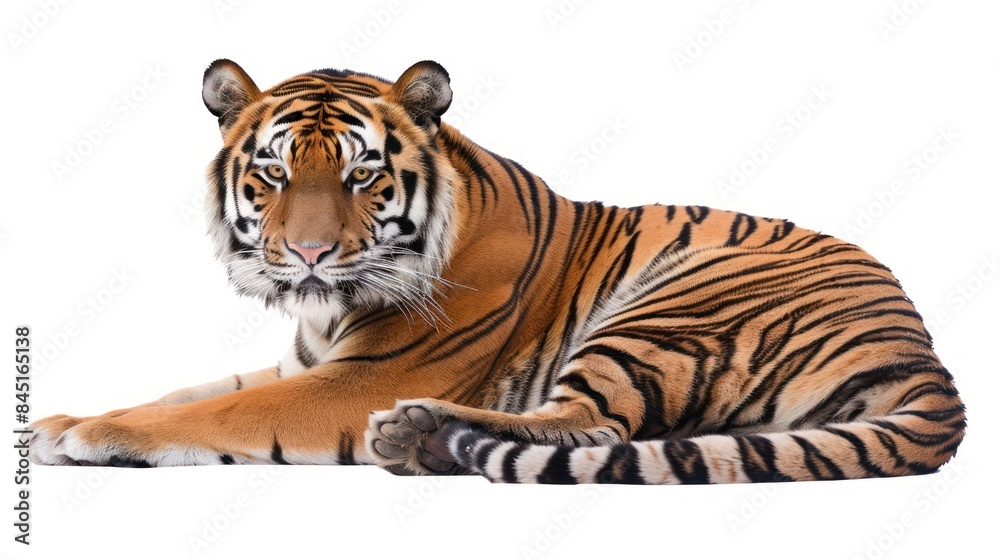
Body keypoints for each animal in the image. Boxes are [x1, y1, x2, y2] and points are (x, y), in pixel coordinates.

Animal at [28, 60, 966, 484]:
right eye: (274, 174)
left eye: (362, 176)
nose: (308, 255)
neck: (325, 312)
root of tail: (923, 351)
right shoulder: (306, 360)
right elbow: (185, 391)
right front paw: (57, 419)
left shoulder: (357, 379)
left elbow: (214, 411)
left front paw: (92, 435)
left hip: (670, 308)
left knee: (592, 426)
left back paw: (413, 436)